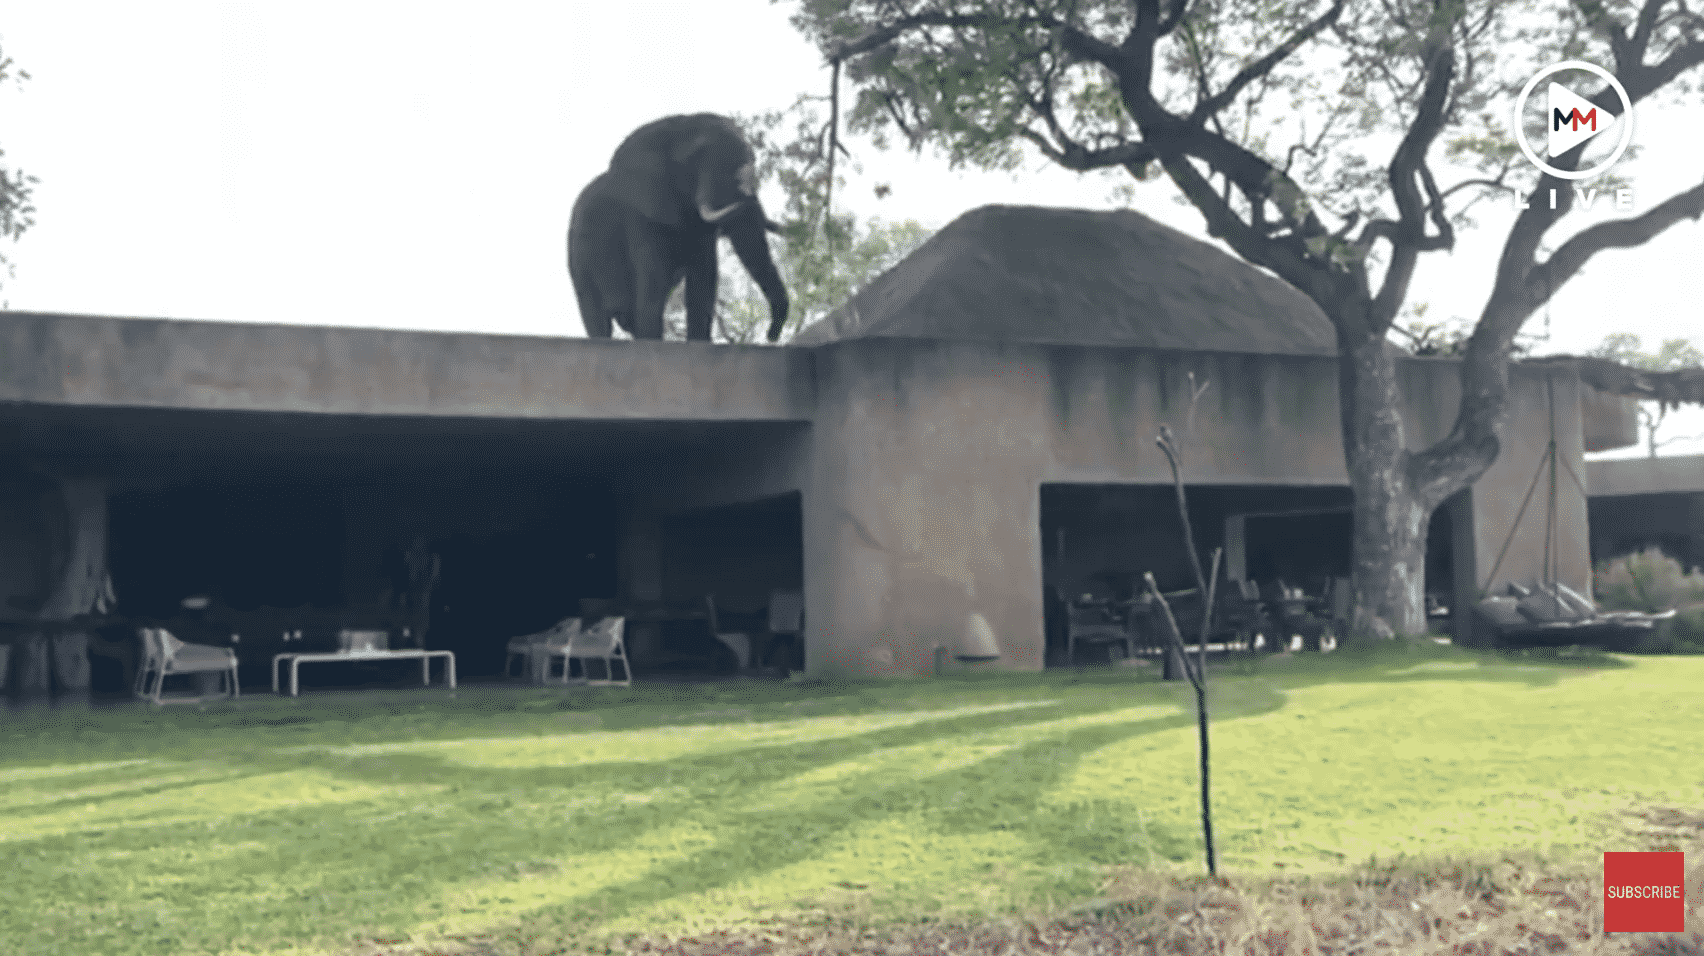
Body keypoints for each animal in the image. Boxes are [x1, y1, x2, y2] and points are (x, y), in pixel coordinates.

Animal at [569, 112, 787, 342]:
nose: (771, 336)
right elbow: (654, 276)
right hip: (579, 259)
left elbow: (704, 276)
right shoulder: (640, 214)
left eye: (751, 158)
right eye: (697, 157)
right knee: (595, 314)